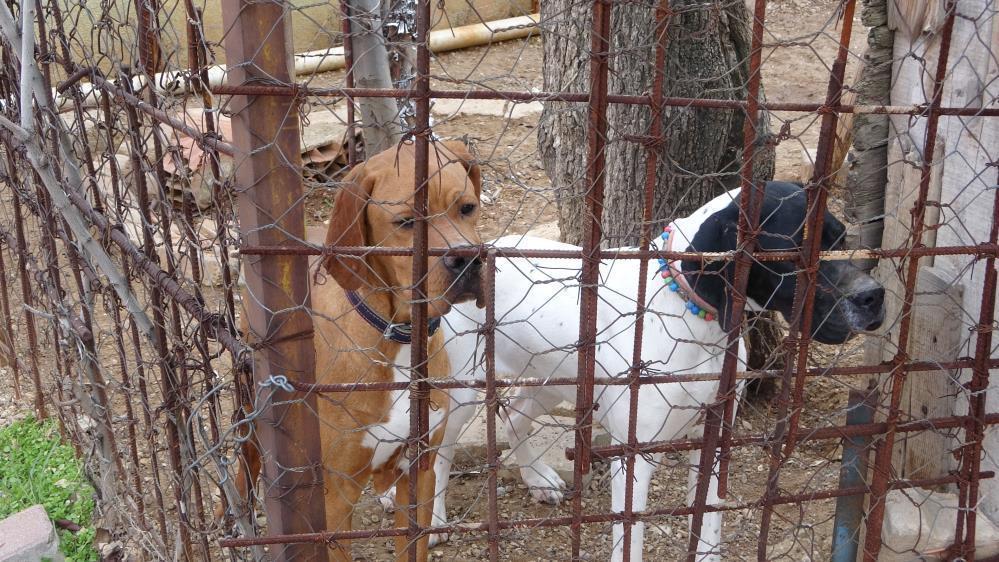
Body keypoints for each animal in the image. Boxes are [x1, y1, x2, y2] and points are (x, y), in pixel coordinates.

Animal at [234, 138, 484, 556]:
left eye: (467, 207)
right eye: (406, 222)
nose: (467, 260)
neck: (397, 336)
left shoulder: (420, 474)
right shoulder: (337, 495)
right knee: (244, 467)